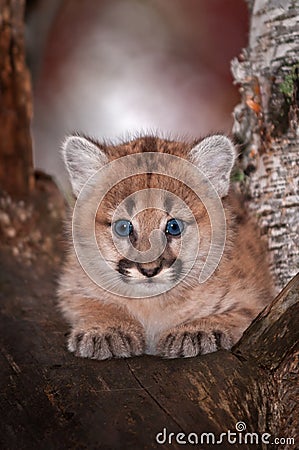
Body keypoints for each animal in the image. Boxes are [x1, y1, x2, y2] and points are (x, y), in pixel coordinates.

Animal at [57, 134, 274, 358]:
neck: (152, 302)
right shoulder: (73, 287)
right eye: (123, 227)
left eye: (174, 226)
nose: (149, 270)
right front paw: (107, 329)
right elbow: (93, 303)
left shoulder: (254, 300)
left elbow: (238, 315)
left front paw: (195, 329)